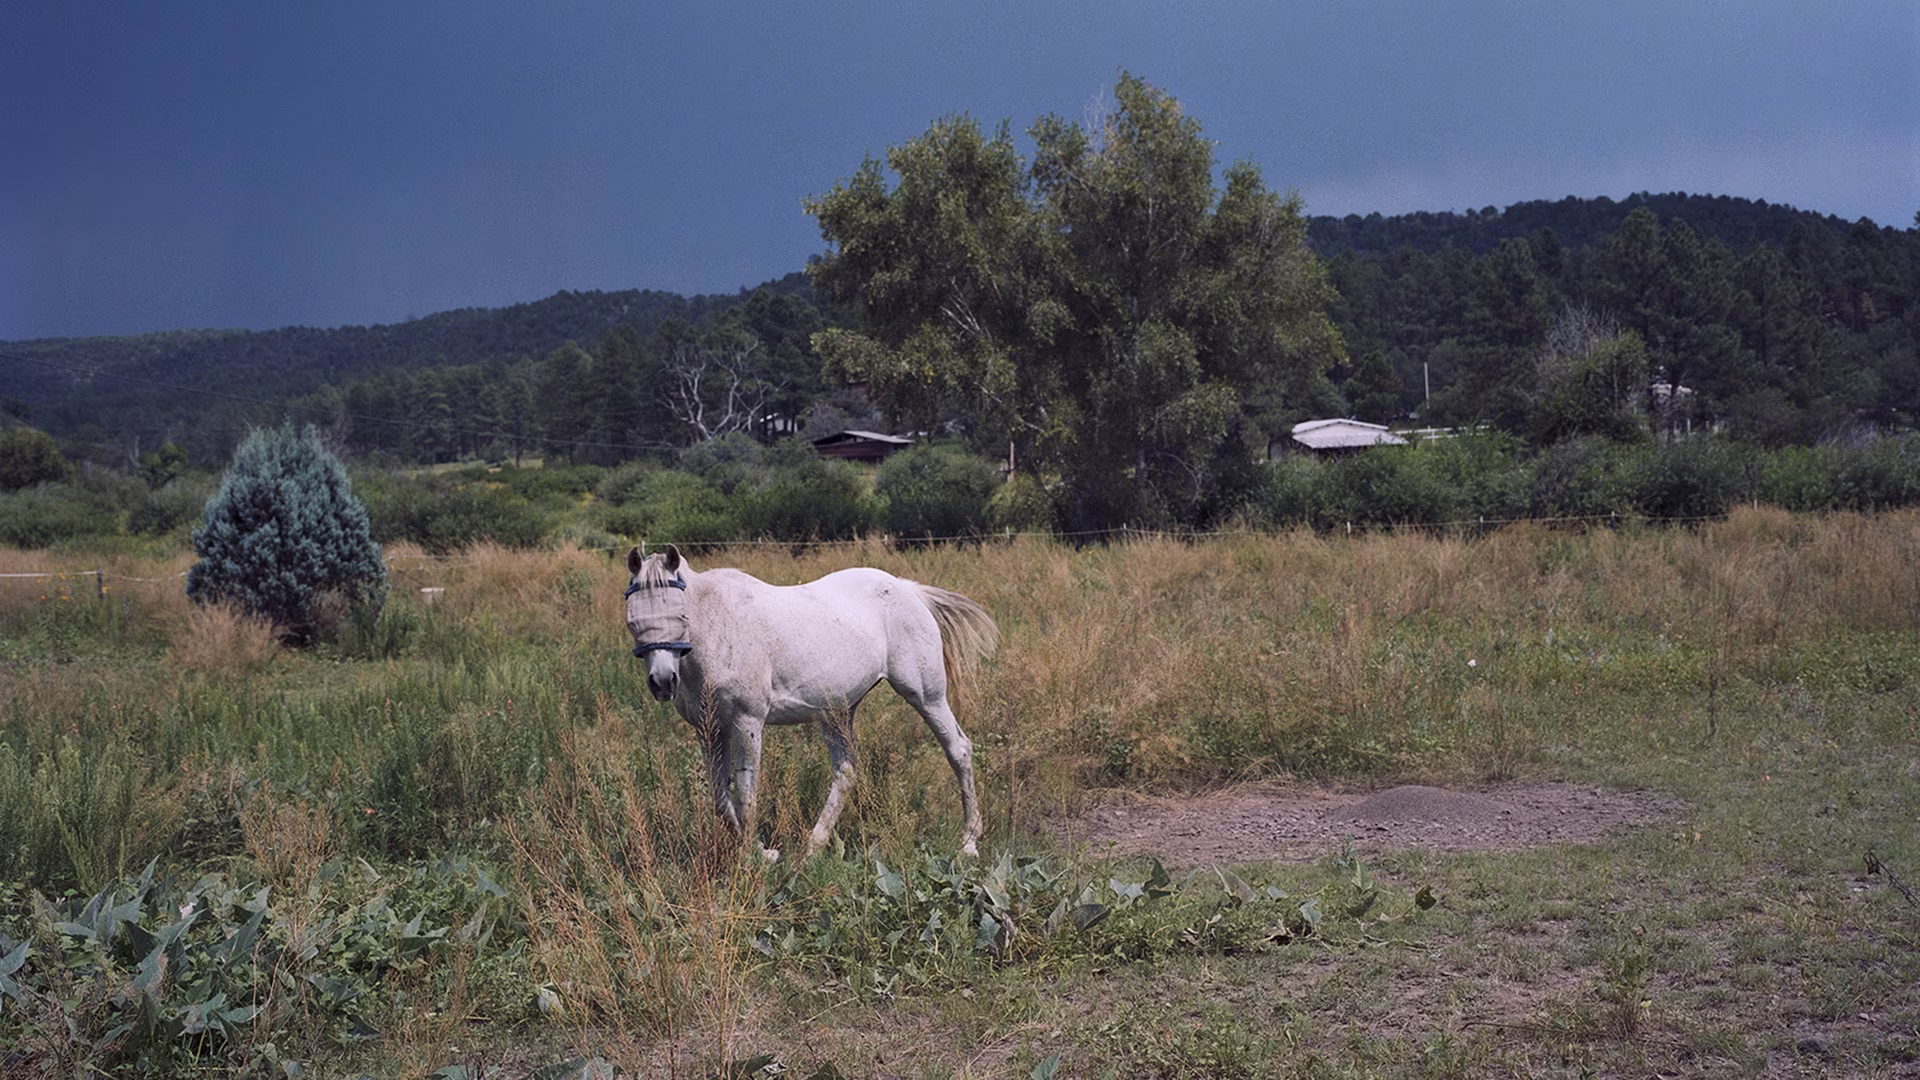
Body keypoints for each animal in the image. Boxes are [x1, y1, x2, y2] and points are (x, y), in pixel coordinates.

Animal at [623, 544, 998, 860]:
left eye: (680, 616)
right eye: (633, 621)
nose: (662, 682)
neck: (717, 626)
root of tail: (908, 589)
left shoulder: (747, 722)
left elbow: (745, 794)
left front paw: (757, 857)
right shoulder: (709, 728)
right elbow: (720, 797)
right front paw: (754, 848)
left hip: (926, 696)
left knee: (959, 750)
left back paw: (969, 841)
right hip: (837, 713)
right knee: (846, 771)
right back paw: (814, 845)